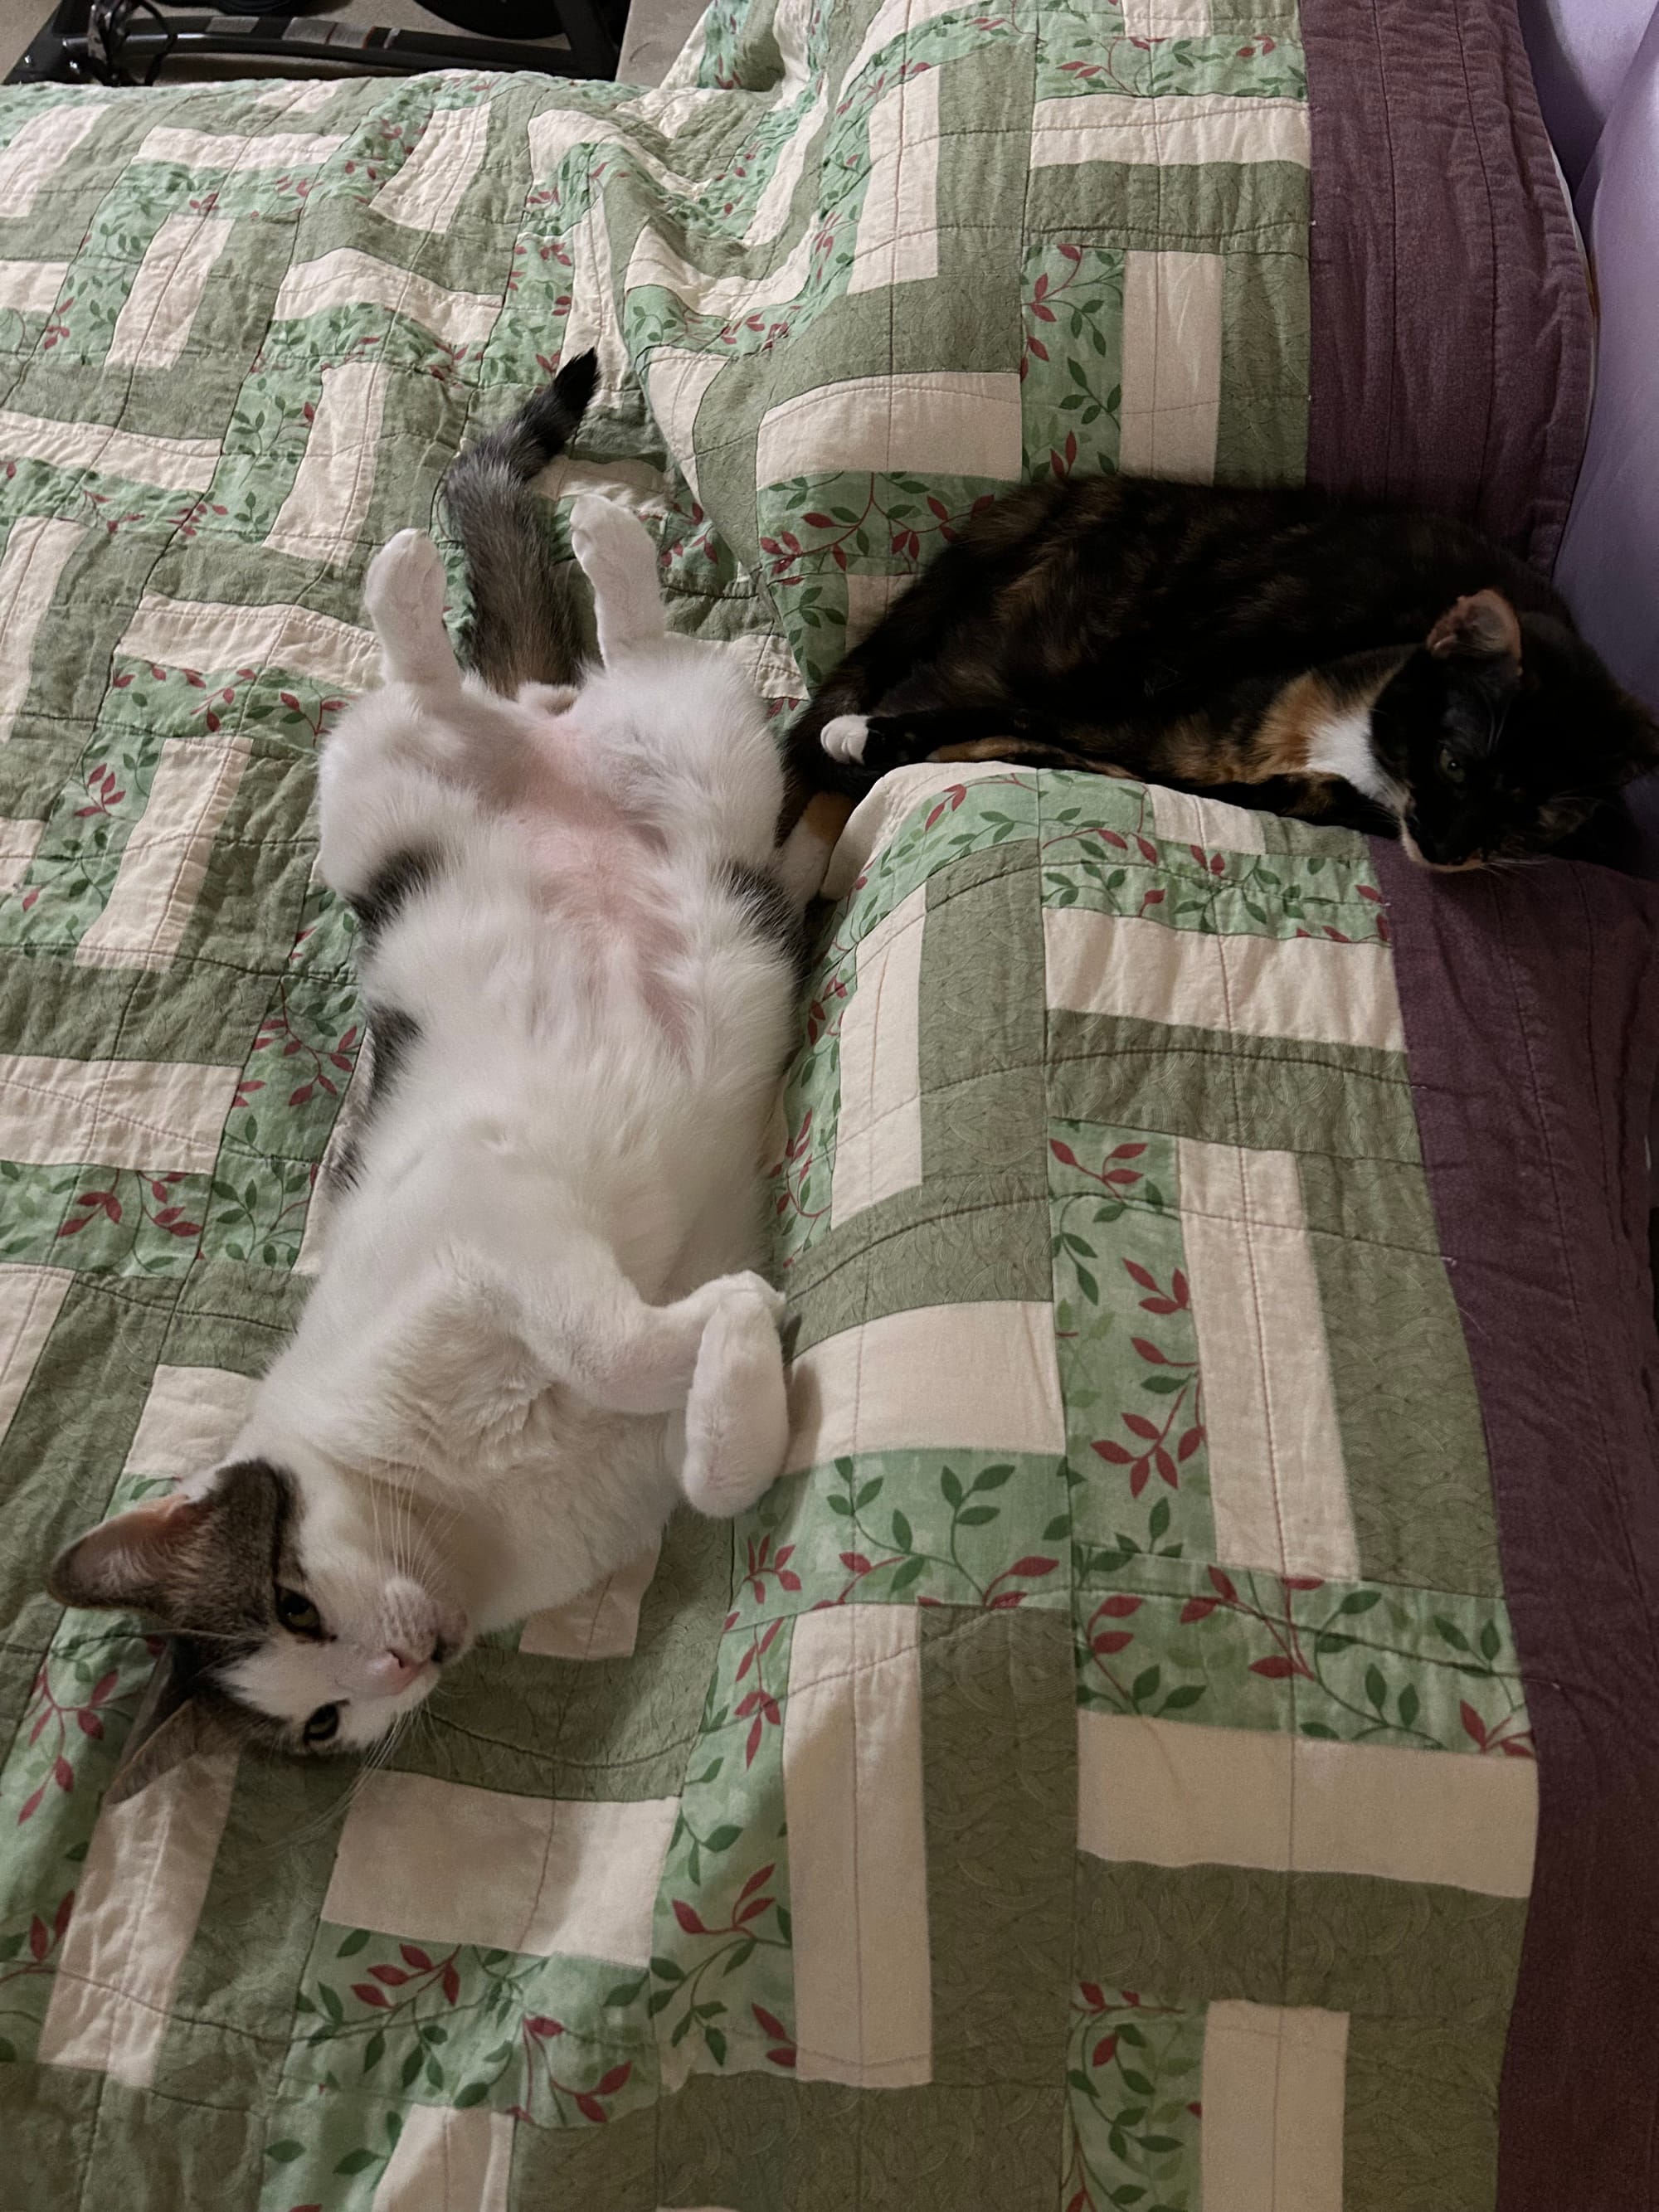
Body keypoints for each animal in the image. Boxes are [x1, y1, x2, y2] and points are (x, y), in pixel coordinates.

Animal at [48, 353, 827, 1787]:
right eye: (319, 1719)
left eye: (297, 1602)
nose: (403, 1661)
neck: (468, 1508)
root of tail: (546, 731)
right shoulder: (631, 1464)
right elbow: (718, 1466)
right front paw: (738, 1332)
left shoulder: (492, 1221)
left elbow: (608, 1341)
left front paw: (724, 1308)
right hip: (683, 765)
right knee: (584, 672)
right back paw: (591, 561)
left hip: (376, 792)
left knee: (454, 684)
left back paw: (494, 567)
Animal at [787, 475, 1654, 863]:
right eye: (1454, 763)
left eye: (1537, 820)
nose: (1448, 850)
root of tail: (1084, 489)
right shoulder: (1146, 717)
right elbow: (1020, 731)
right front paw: (869, 738)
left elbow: (1047, 750)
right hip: (1087, 651)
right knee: (949, 687)